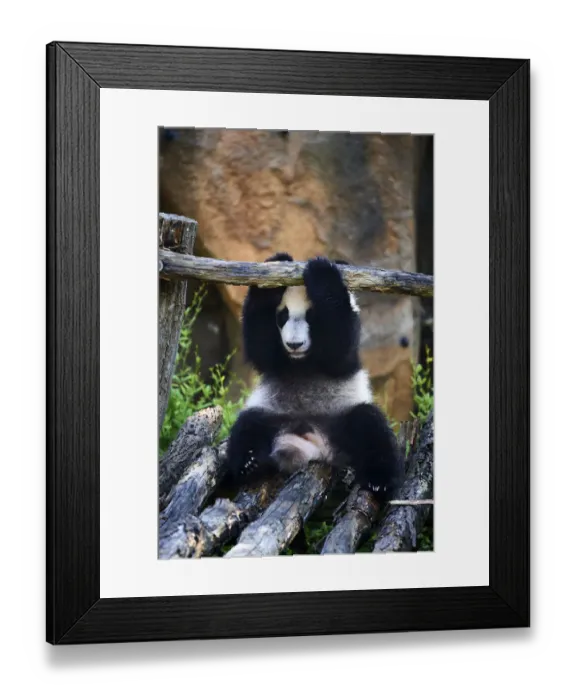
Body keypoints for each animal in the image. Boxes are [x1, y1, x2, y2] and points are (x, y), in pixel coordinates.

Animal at [222, 252, 402, 500]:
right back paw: (249, 463)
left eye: (311, 316)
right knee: (248, 425)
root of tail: (314, 446)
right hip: (273, 412)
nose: (294, 344)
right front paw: (278, 264)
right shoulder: (276, 360)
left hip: (340, 413)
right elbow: (261, 347)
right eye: (283, 316)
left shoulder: (347, 342)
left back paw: (379, 481)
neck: (302, 362)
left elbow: (338, 347)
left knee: (370, 426)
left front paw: (321, 270)